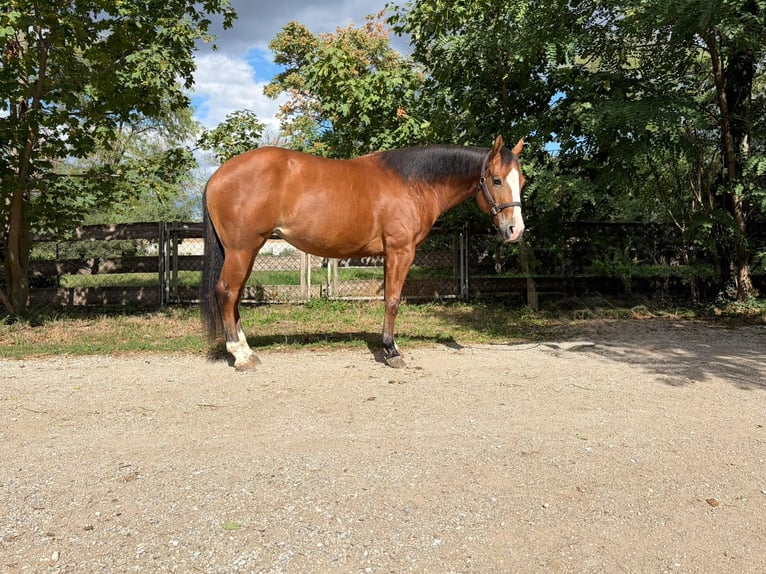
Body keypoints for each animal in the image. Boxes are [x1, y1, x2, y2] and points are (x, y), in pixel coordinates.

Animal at [201, 135, 526, 371]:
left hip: (248, 251)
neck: (413, 183)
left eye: (520, 182)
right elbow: (393, 300)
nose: (515, 230)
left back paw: (247, 350)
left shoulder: (388, 254)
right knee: (227, 292)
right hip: (242, 250)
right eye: (496, 180)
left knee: (235, 296)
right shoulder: (400, 251)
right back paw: (241, 356)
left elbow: (387, 299)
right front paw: (392, 351)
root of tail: (219, 175)